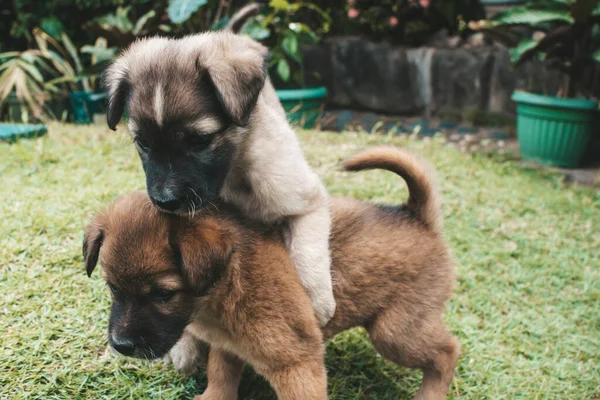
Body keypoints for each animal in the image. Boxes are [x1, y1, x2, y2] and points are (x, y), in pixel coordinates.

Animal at [83, 148, 460, 400]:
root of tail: (416, 216)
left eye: (163, 294)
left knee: (447, 351)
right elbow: (220, 375)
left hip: (394, 331)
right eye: (112, 288)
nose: (120, 345)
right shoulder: (230, 347)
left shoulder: (297, 364)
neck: (227, 288)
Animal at [104, 10, 338, 344]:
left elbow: (308, 253)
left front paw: (318, 302)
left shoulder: (307, 200)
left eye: (200, 140)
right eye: (143, 143)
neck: (233, 176)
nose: (164, 201)